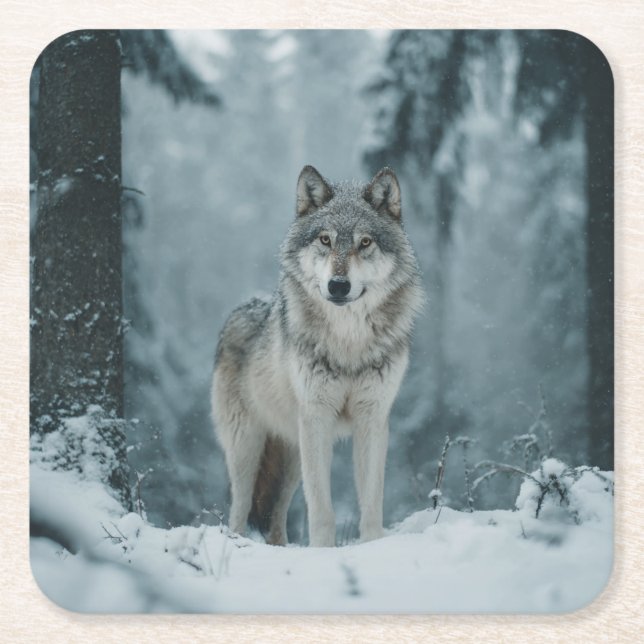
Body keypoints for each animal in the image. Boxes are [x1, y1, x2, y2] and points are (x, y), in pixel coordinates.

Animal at [211, 165, 423, 547]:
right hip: (249, 447)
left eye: (364, 242)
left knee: (276, 515)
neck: (348, 341)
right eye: (325, 240)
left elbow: (372, 500)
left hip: (291, 456)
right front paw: (324, 550)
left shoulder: (373, 418)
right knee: (239, 507)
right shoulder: (317, 418)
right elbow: (321, 507)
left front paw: (372, 545)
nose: (338, 286)